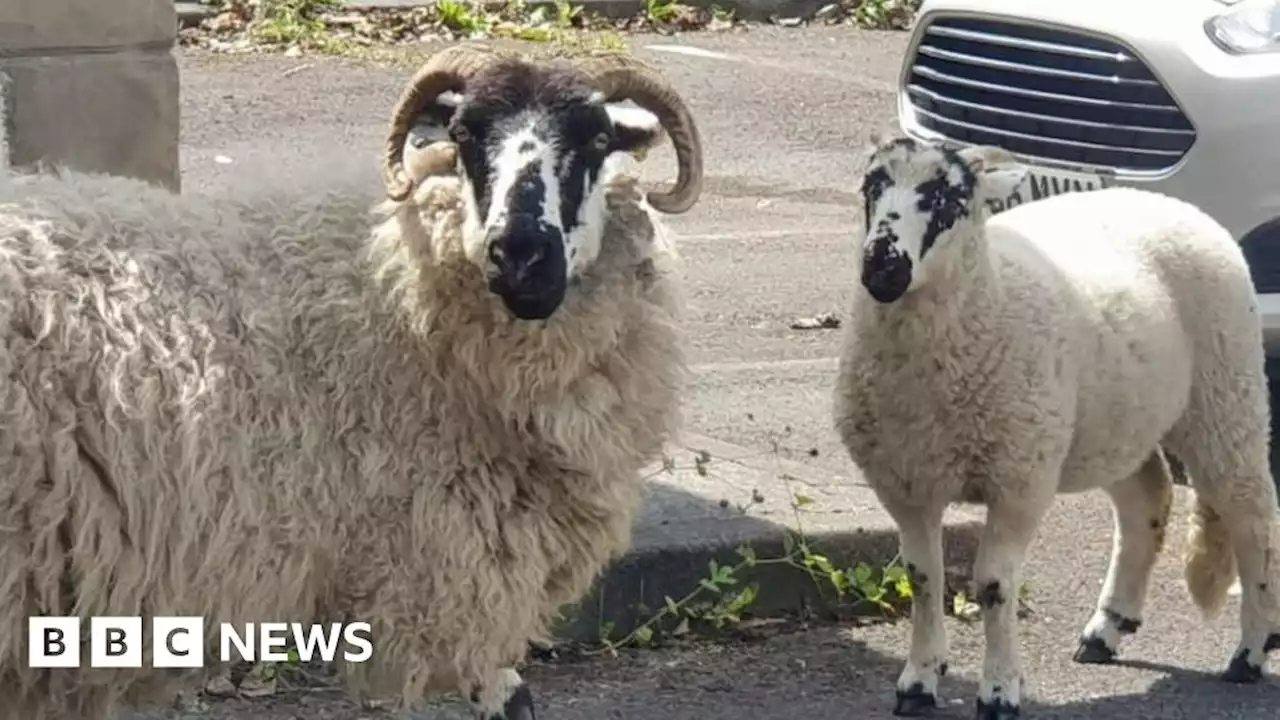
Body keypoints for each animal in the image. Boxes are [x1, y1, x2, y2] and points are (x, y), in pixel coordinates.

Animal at [0, 44, 706, 717]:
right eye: (465, 133)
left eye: (596, 139)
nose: (520, 255)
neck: (392, 287)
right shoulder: (445, 566)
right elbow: (509, 699)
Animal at [829, 135, 1280, 717]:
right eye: (872, 186)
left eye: (950, 198)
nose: (882, 268)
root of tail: (1176, 206)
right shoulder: (906, 482)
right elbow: (923, 578)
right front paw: (918, 682)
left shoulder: (1019, 480)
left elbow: (993, 584)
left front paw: (999, 690)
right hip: (1113, 420)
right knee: (1147, 499)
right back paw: (1107, 629)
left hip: (1225, 391)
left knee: (1251, 514)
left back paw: (1250, 652)